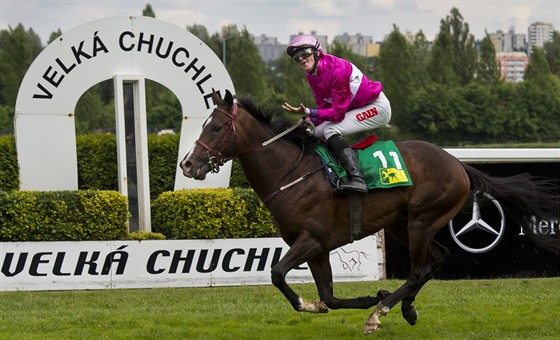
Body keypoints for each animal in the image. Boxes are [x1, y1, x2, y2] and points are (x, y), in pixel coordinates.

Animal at [180, 89, 560, 334]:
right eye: (204, 125)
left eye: (216, 127)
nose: (187, 164)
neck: (290, 173)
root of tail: (459, 164)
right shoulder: (318, 248)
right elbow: (330, 297)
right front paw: (362, 297)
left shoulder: (311, 239)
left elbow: (277, 273)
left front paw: (320, 304)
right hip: (401, 224)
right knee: (437, 259)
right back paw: (404, 308)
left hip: (422, 220)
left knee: (420, 269)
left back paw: (383, 311)